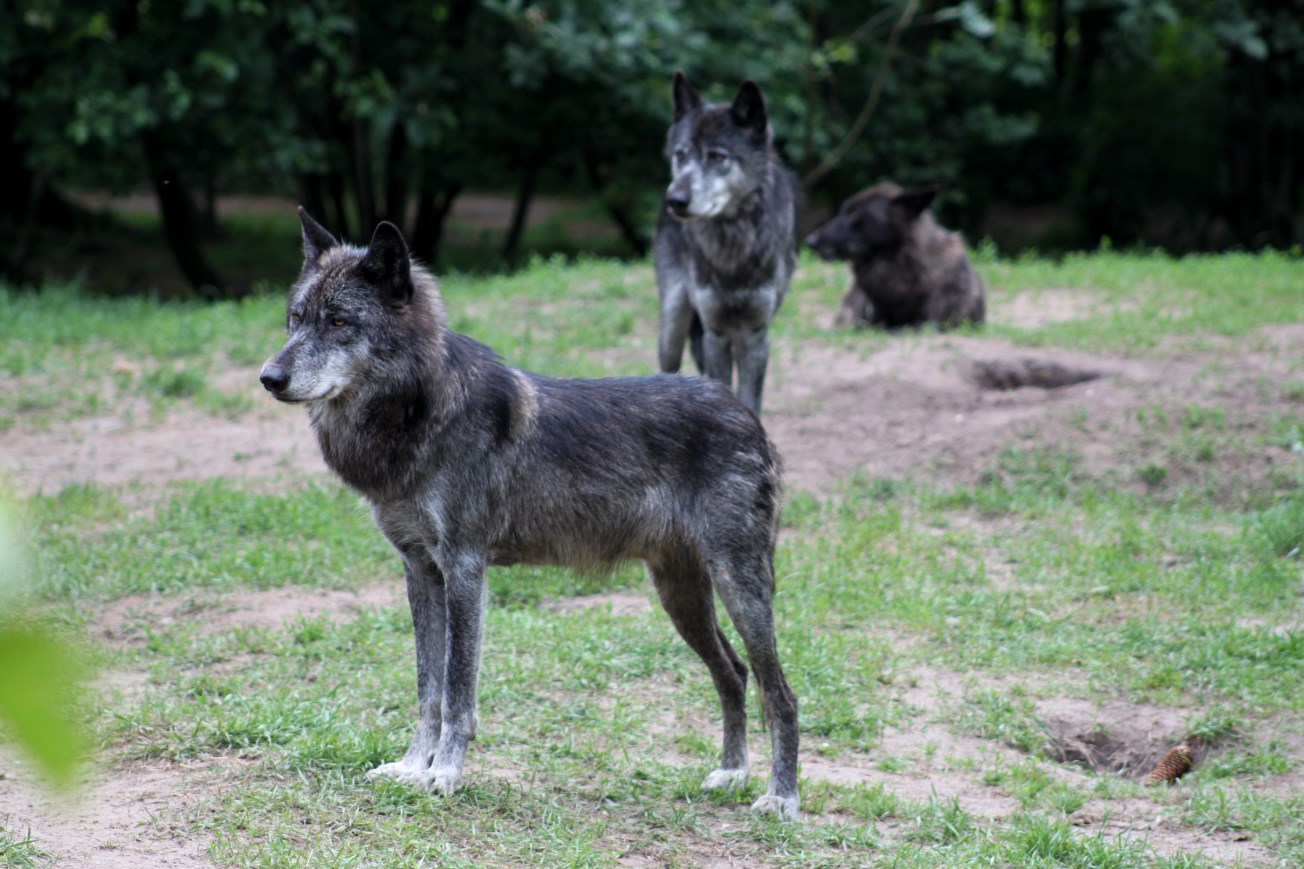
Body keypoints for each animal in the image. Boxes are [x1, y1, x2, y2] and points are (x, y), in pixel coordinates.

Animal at [259, 210, 801, 819]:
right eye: (296, 319)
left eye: (339, 321)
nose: (269, 378)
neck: (419, 411)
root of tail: (745, 412)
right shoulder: (420, 571)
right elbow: (427, 691)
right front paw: (411, 766)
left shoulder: (465, 570)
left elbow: (457, 692)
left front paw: (443, 774)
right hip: (681, 597)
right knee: (734, 673)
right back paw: (733, 773)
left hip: (739, 588)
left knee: (781, 692)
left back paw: (781, 797)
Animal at [654, 71, 800, 417]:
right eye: (681, 154)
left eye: (718, 157)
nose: (674, 200)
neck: (731, 247)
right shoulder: (715, 332)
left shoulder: (756, 334)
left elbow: (750, 399)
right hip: (673, 324)